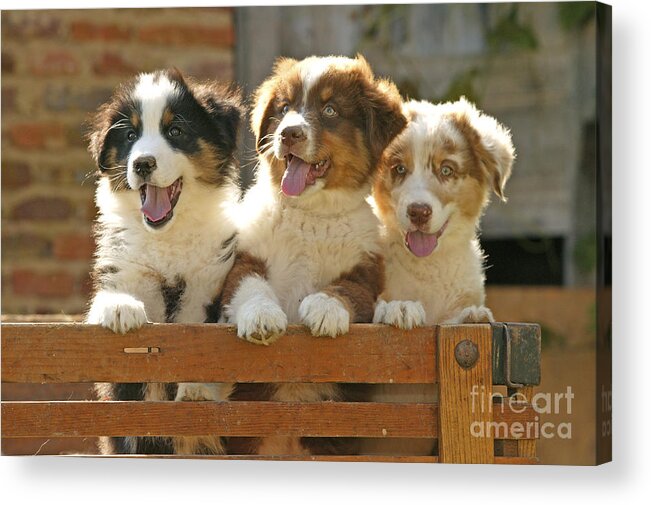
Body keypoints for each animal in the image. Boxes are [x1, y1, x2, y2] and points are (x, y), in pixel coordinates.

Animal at [224, 56, 408, 456]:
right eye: (283, 109)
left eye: (330, 110)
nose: (288, 134)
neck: (313, 213)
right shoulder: (244, 258)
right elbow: (250, 286)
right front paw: (262, 319)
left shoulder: (365, 273)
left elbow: (345, 290)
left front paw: (324, 311)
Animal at [366, 98, 516, 456]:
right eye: (399, 169)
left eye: (446, 170)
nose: (419, 212)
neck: (427, 266)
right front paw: (400, 307)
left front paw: (471, 315)